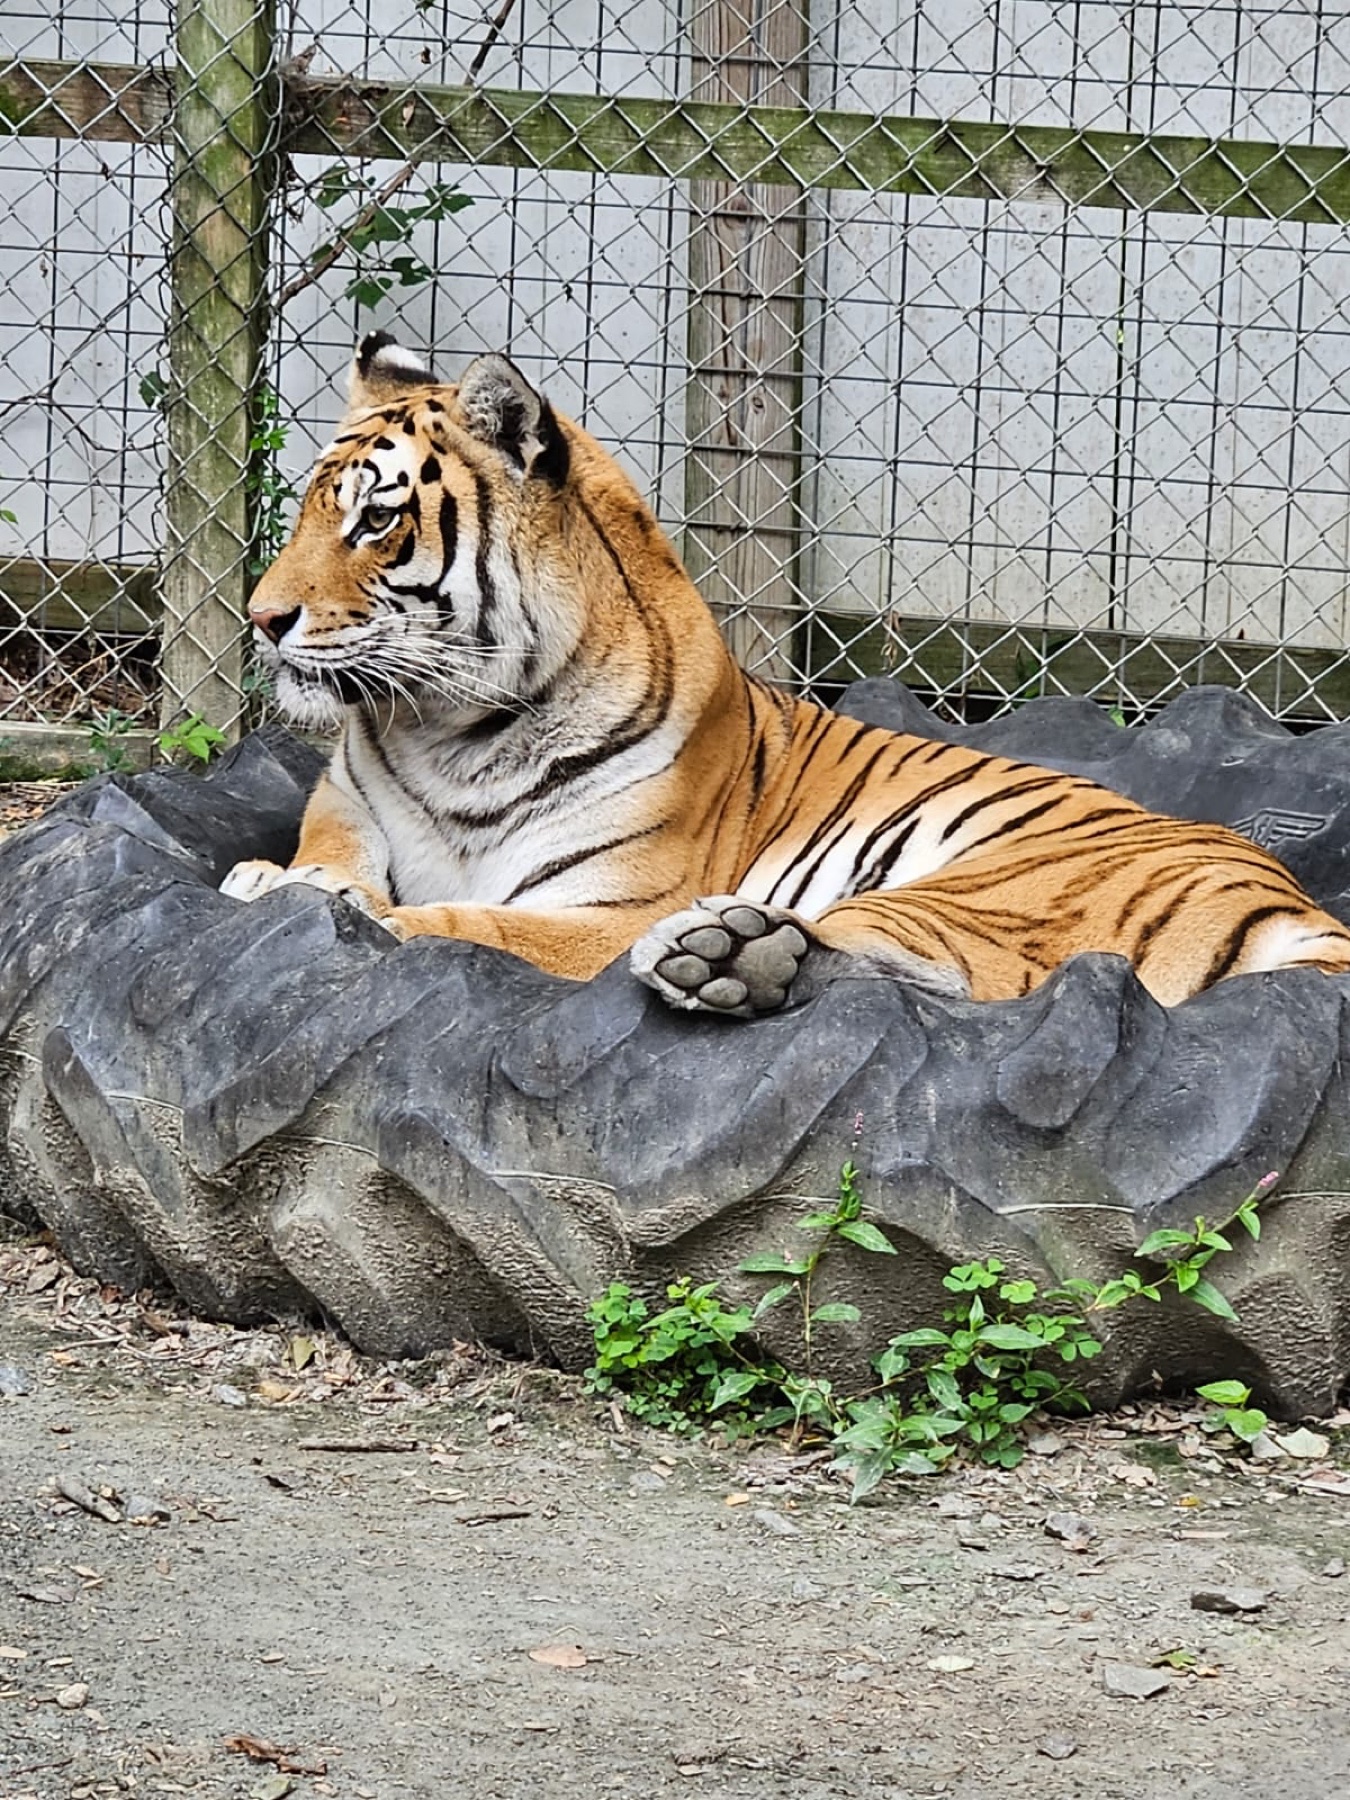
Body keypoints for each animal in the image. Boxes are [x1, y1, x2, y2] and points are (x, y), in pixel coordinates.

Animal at [220, 331, 1350, 1015]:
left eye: (377, 519)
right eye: (312, 508)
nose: (262, 618)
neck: (450, 734)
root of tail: (1286, 897)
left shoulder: (605, 909)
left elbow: (461, 923)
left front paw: (322, 906)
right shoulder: (348, 805)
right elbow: (338, 858)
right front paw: (282, 879)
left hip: (988, 891)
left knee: (963, 983)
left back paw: (724, 953)